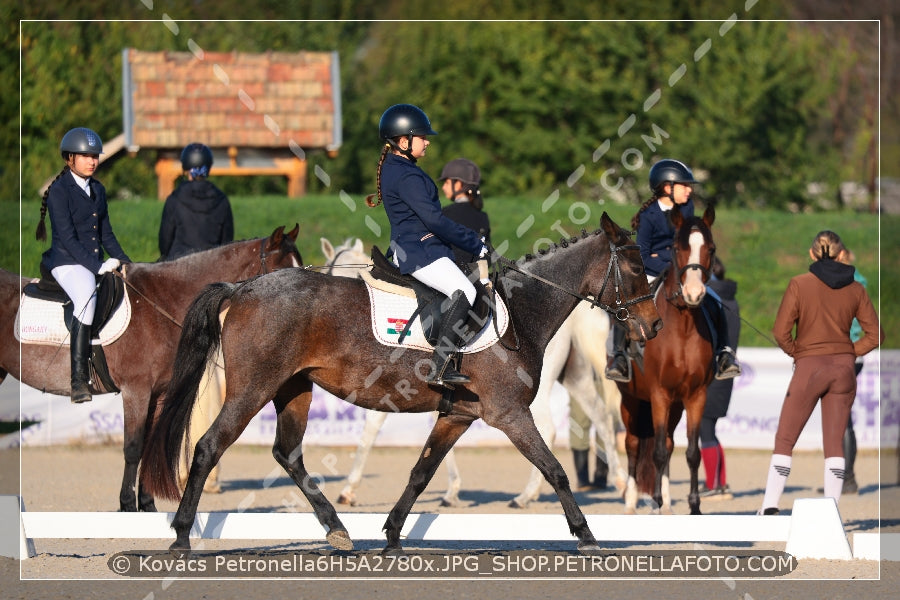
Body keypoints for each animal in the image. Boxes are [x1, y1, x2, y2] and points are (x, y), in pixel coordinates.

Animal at [0, 225, 304, 510]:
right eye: (282, 270)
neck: (160, 302)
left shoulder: (159, 394)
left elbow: (149, 445)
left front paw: (147, 505)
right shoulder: (136, 391)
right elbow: (133, 448)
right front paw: (126, 505)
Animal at [324, 237, 624, 508]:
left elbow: (370, 431)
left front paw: (349, 490)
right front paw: (451, 488)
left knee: (551, 429)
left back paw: (527, 495)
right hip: (575, 376)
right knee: (601, 415)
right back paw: (620, 484)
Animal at [616, 204, 712, 512]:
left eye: (710, 249)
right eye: (678, 248)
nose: (693, 293)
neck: (682, 328)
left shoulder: (695, 396)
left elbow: (692, 453)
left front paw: (694, 505)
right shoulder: (658, 394)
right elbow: (655, 451)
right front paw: (655, 500)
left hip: (675, 406)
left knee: (669, 443)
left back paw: (668, 501)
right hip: (632, 401)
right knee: (634, 444)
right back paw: (633, 499)